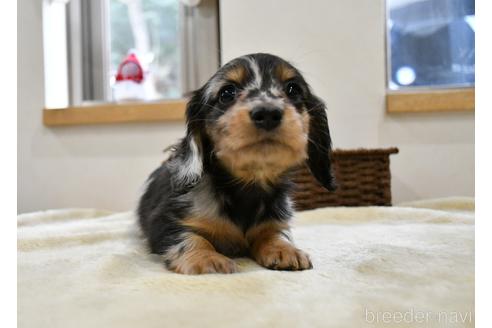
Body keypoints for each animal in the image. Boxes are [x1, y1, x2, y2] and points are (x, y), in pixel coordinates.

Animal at [140, 53, 336, 274]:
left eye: (293, 89)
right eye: (227, 92)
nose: (267, 113)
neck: (247, 188)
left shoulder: (275, 221)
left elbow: (276, 232)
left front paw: (285, 249)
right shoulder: (164, 222)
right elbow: (189, 237)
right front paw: (207, 258)